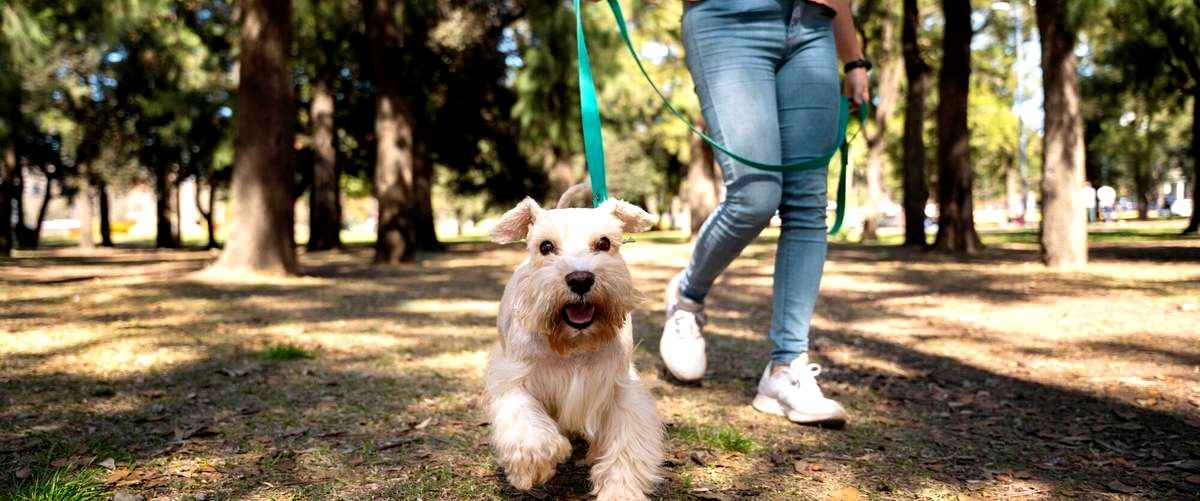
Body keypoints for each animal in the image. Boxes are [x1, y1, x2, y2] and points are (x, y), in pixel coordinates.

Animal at [484, 195, 667, 501]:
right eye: (545, 246)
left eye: (604, 242)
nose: (580, 279)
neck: (573, 344)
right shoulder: (514, 378)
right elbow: (526, 425)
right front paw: (534, 463)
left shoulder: (619, 389)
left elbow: (625, 446)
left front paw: (619, 491)